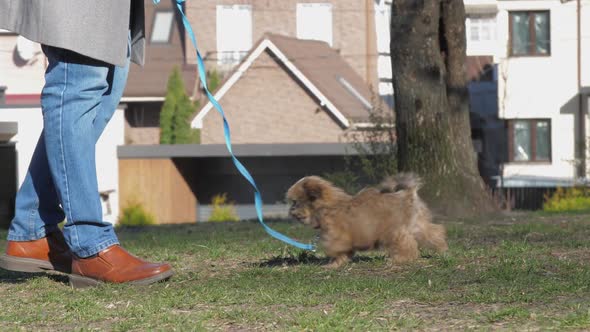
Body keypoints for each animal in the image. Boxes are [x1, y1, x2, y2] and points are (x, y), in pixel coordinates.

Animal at [286, 174, 448, 268]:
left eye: (295, 202)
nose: (291, 211)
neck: (329, 206)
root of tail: (407, 193)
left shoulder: (337, 235)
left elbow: (336, 247)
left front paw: (332, 261)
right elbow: (344, 253)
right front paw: (337, 263)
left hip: (394, 231)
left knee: (407, 245)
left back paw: (400, 259)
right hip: (417, 224)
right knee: (434, 233)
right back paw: (442, 249)